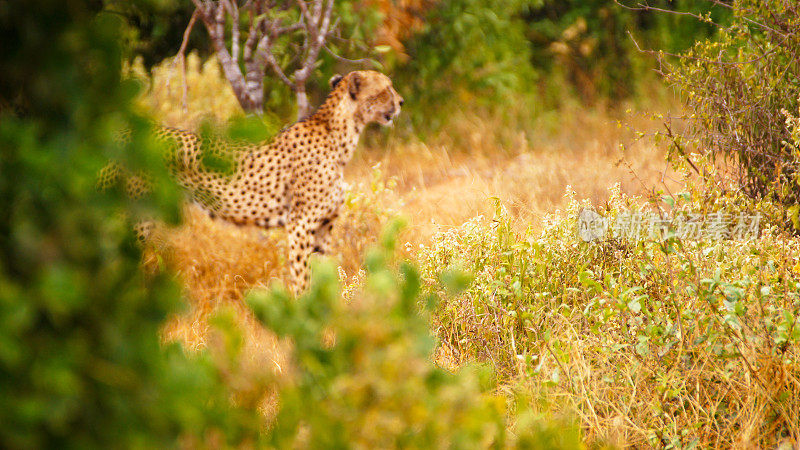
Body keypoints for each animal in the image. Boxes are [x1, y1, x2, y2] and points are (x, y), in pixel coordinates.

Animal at [102, 71, 406, 292]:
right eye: (386, 88)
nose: (401, 102)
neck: (340, 136)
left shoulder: (323, 227)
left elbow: (325, 274)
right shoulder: (300, 224)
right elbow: (302, 276)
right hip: (133, 218)